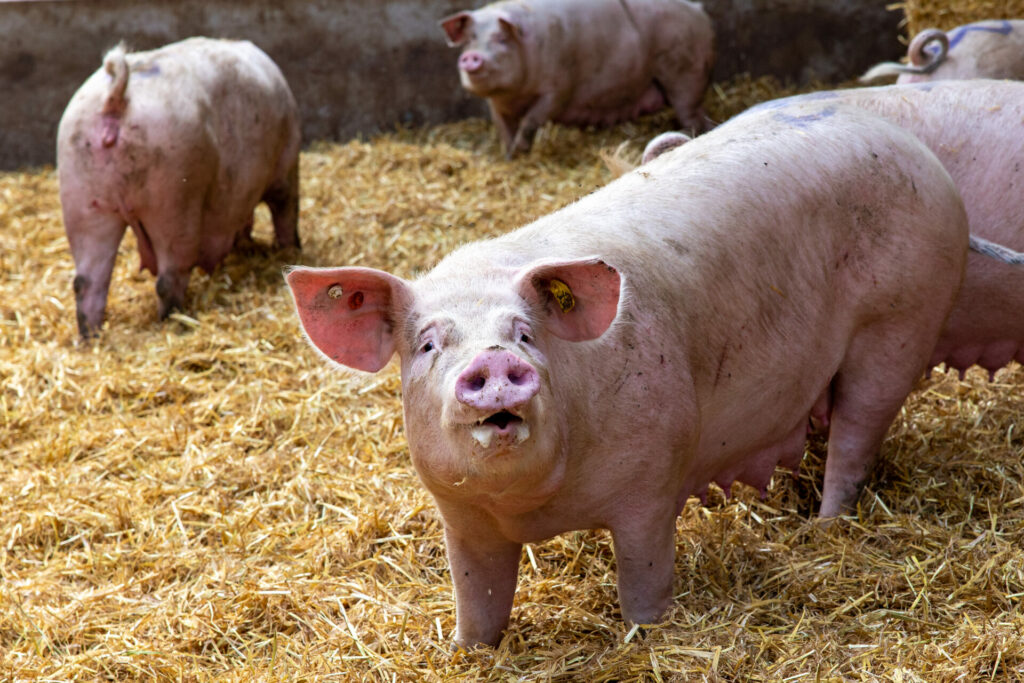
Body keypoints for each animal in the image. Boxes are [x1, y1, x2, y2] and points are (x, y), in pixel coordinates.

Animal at [57, 37, 301, 337]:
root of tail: (116, 99)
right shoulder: (286, 165)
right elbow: (285, 211)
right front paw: (290, 252)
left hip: (83, 200)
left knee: (86, 282)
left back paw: (90, 338)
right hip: (174, 200)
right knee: (168, 278)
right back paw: (175, 322)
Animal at [287, 103, 968, 646]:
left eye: (525, 334)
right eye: (429, 344)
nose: (493, 360)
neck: (535, 509)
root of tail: (914, 150)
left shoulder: (653, 478)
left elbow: (643, 574)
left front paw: (644, 636)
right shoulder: (461, 516)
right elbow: (477, 597)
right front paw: (465, 652)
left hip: (898, 325)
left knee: (857, 437)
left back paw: (826, 526)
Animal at [440, 0, 715, 158]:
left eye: (501, 38)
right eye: (470, 38)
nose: (471, 56)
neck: (515, 95)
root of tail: (698, 10)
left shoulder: (558, 88)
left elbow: (531, 120)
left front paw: (521, 149)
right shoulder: (496, 104)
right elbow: (504, 129)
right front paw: (510, 156)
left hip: (685, 71)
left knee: (692, 113)